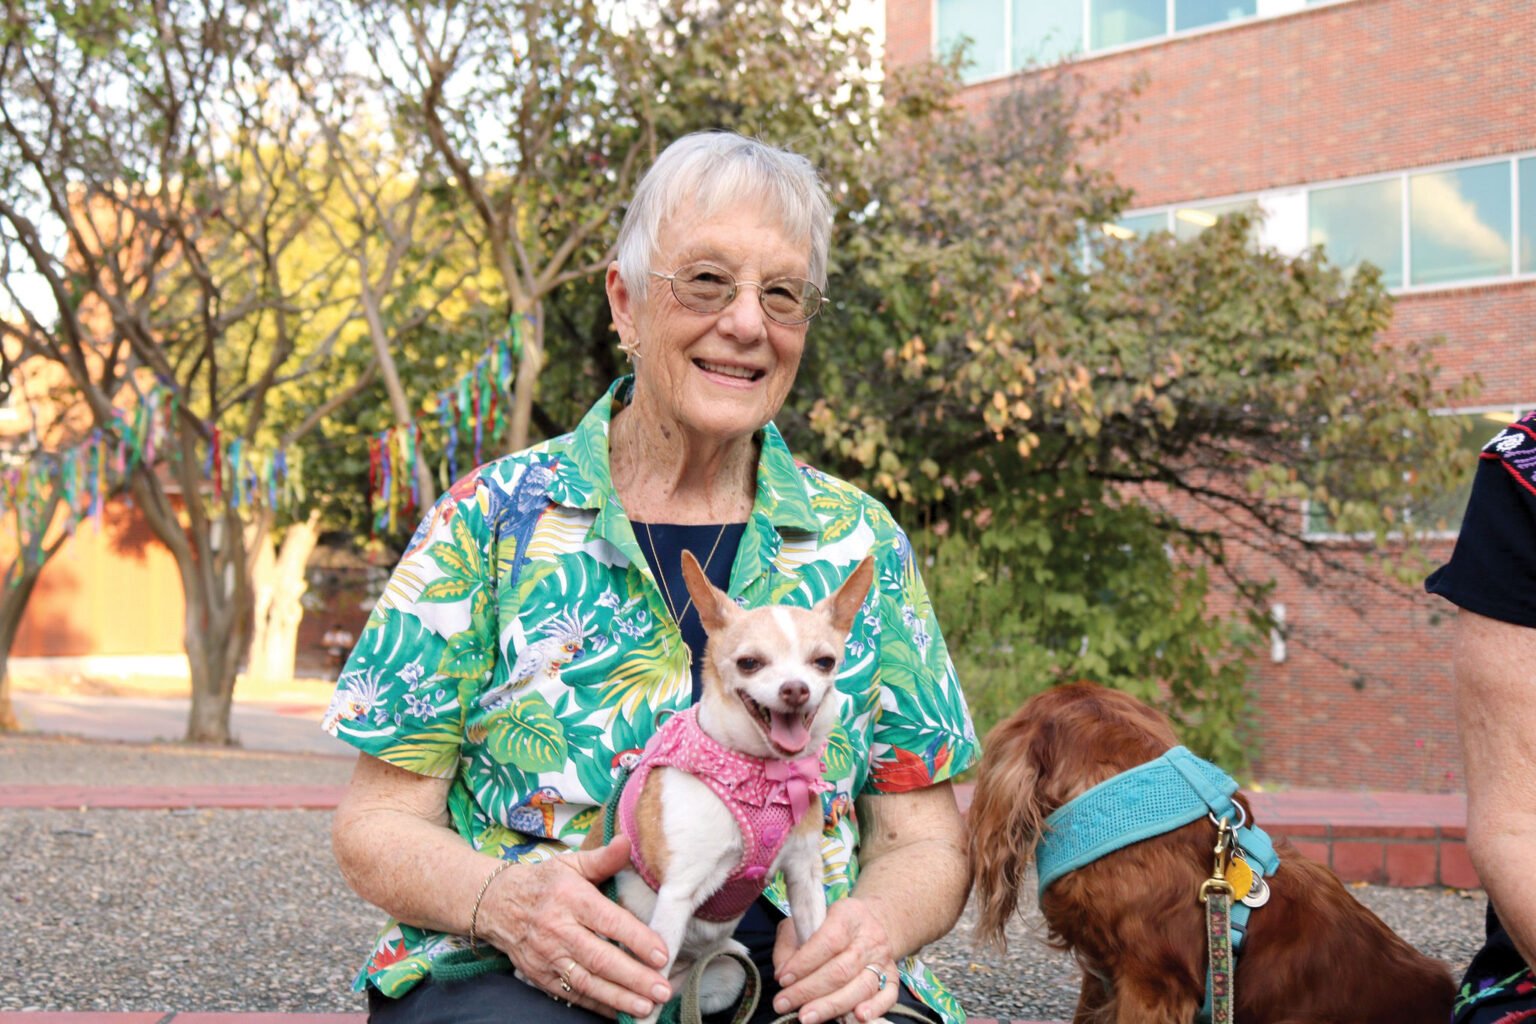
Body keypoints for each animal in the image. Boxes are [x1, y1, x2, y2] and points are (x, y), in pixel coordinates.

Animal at [586, 552, 878, 1024]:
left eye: (824, 662)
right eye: (749, 663)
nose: (795, 689)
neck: (762, 773)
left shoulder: (804, 877)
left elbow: (818, 950)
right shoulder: (676, 897)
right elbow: (644, 1000)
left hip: (729, 973)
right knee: (651, 998)